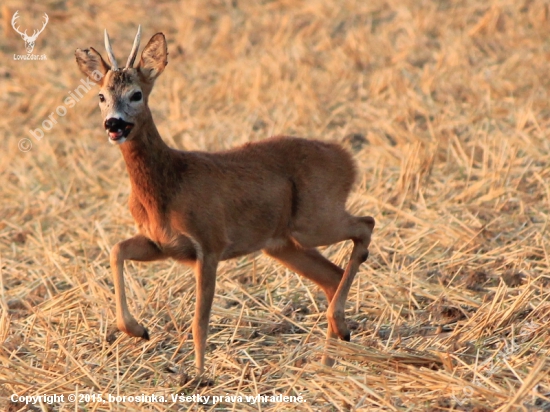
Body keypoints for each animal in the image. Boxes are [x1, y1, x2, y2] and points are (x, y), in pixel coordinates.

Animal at [76, 25, 376, 374]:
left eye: (136, 94)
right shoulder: (161, 244)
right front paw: (138, 330)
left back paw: (339, 331)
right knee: (332, 276)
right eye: (101, 96)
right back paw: (329, 357)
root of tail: (347, 160)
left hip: (314, 219)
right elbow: (116, 250)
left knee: (365, 224)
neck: (169, 183)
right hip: (281, 243)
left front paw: (199, 377)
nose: (114, 123)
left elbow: (199, 322)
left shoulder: (210, 243)